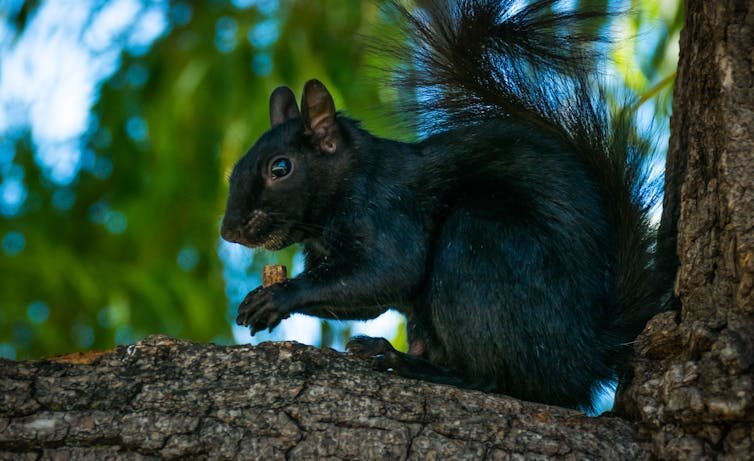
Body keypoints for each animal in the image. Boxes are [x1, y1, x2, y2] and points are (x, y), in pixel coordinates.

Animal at [219, 0, 668, 410]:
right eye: (236, 167)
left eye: (280, 168)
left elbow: (391, 270)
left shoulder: (389, 211)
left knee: (489, 376)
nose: (229, 231)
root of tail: (584, 356)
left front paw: (277, 296)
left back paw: (405, 362)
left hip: (479, 246)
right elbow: (365, 299)